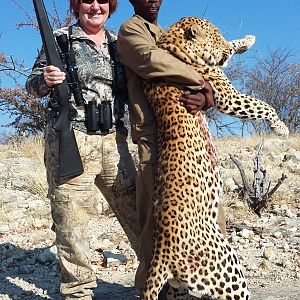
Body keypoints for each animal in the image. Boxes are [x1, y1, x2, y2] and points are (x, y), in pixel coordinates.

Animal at [139, 15, 290, 300]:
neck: (171, 45)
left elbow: (232, 50)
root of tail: (162, 255)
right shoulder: (226, 95)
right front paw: (281, 128)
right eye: (214, 34)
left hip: (181, 286)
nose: (222, 46)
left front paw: (245, 41)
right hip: (229, 271)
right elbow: (263, 106)